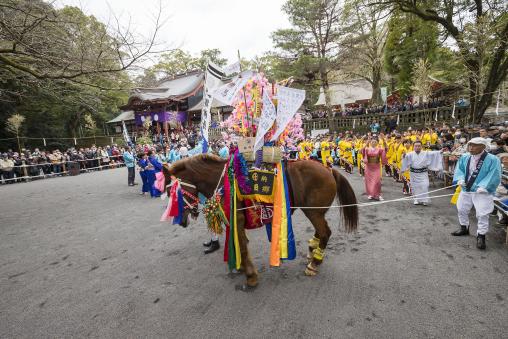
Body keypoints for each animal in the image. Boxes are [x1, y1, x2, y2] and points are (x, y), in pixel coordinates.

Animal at [163, 155, 358, 288]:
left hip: (313, 211)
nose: (180, 220)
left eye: (173, 194)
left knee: (325, 232)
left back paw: (314, 263)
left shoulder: (237, 219)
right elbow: (241, 244)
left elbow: (242, 246)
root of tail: (328, 169)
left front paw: (250, 276)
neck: (224, 182)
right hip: (316, 211)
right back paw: (314, 250)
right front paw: (242, 267)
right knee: (321, 231)